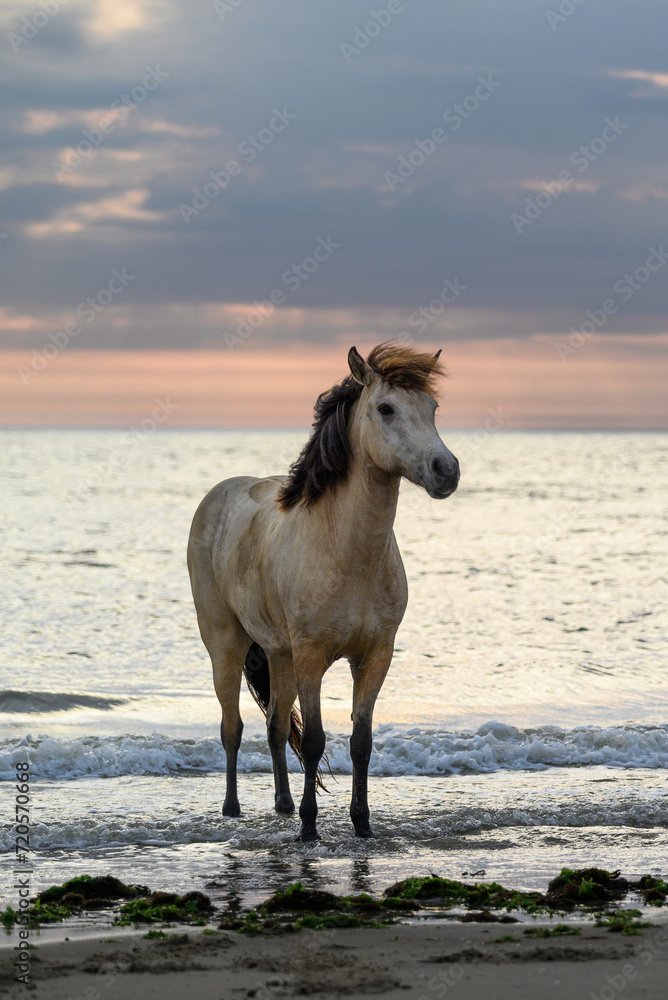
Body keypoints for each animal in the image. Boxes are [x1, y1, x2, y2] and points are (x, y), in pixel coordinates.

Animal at [187, 340, 460, 840]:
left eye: (432, 408)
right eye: (386, 408)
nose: (445, 470)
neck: (348, 552)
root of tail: (218, 496)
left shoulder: (375, 656)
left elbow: (360, 741)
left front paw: (362, 825)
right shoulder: (312, 655)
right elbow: (314, 740)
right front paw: (310, 829)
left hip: (279, 653)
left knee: (275, 725)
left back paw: (282, 804)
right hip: (226, 645)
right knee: (232, 727)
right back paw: (233, 809)